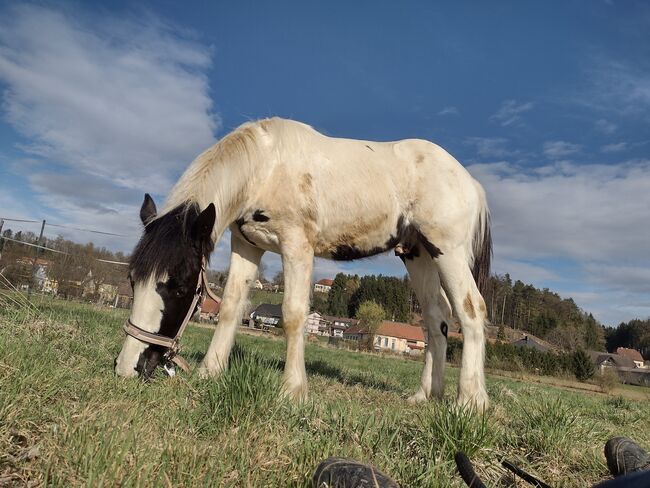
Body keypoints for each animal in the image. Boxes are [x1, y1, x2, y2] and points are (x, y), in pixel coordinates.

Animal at [115, 116, 492, 410]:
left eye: (179, 286)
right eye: (133, 279)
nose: (128, 367)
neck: (266, 166)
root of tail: (470, 182)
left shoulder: (297, 245)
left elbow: (294, 314)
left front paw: (293, 391)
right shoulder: (246, 245)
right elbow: (231, 306)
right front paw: (210, 372)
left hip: (448, 251)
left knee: (471, 310)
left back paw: (470, 402)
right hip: (419, 255)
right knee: (436, 320)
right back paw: (426, 395)